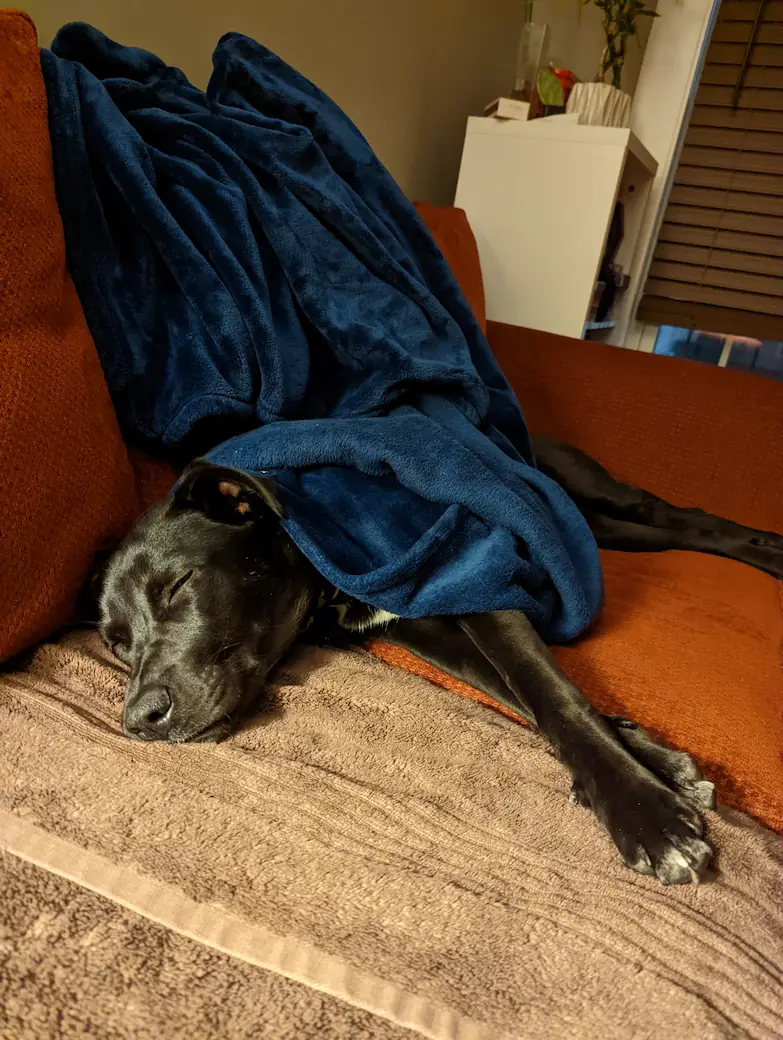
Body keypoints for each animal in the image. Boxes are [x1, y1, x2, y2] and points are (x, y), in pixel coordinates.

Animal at [97, 434, 781, 881]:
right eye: (115, 643)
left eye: (179, 584)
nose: (138, 722)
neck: (323, 569)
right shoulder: (423, 623)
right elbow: (517, 694)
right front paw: (654, 760)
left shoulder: (479, 575)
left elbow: (550, 692)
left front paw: (644, 816)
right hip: (597, 524)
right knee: (673, 531)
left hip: (589, 493)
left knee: (687, 517)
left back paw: (765, 549)